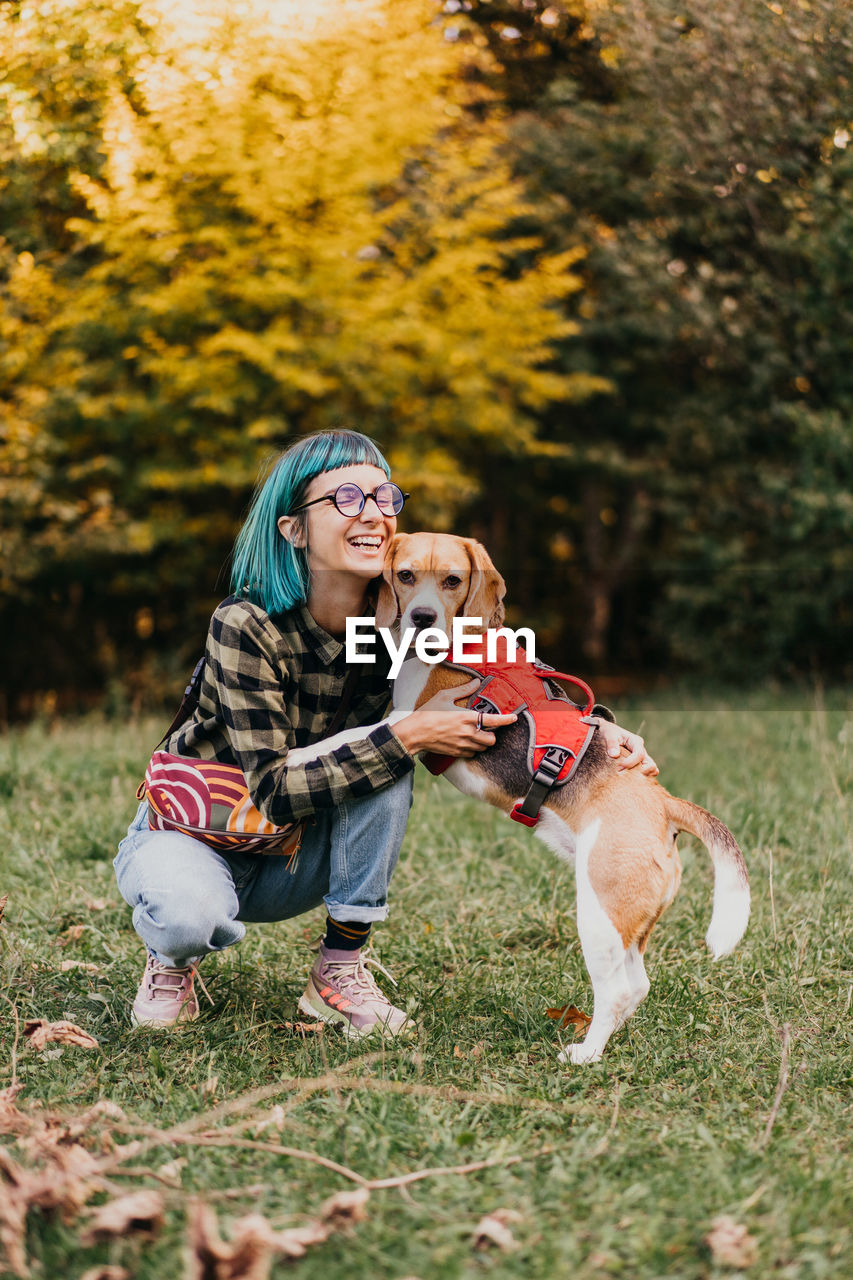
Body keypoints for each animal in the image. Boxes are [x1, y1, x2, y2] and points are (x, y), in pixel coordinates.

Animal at [376, 535, 747, 1064]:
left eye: (452, 580)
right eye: (405, 575)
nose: (422, 617)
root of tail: (663, 801)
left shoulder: (414, 719)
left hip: (596, 915)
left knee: (616, 990)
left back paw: (585, 1056)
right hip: (623, 923)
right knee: (636, 987)